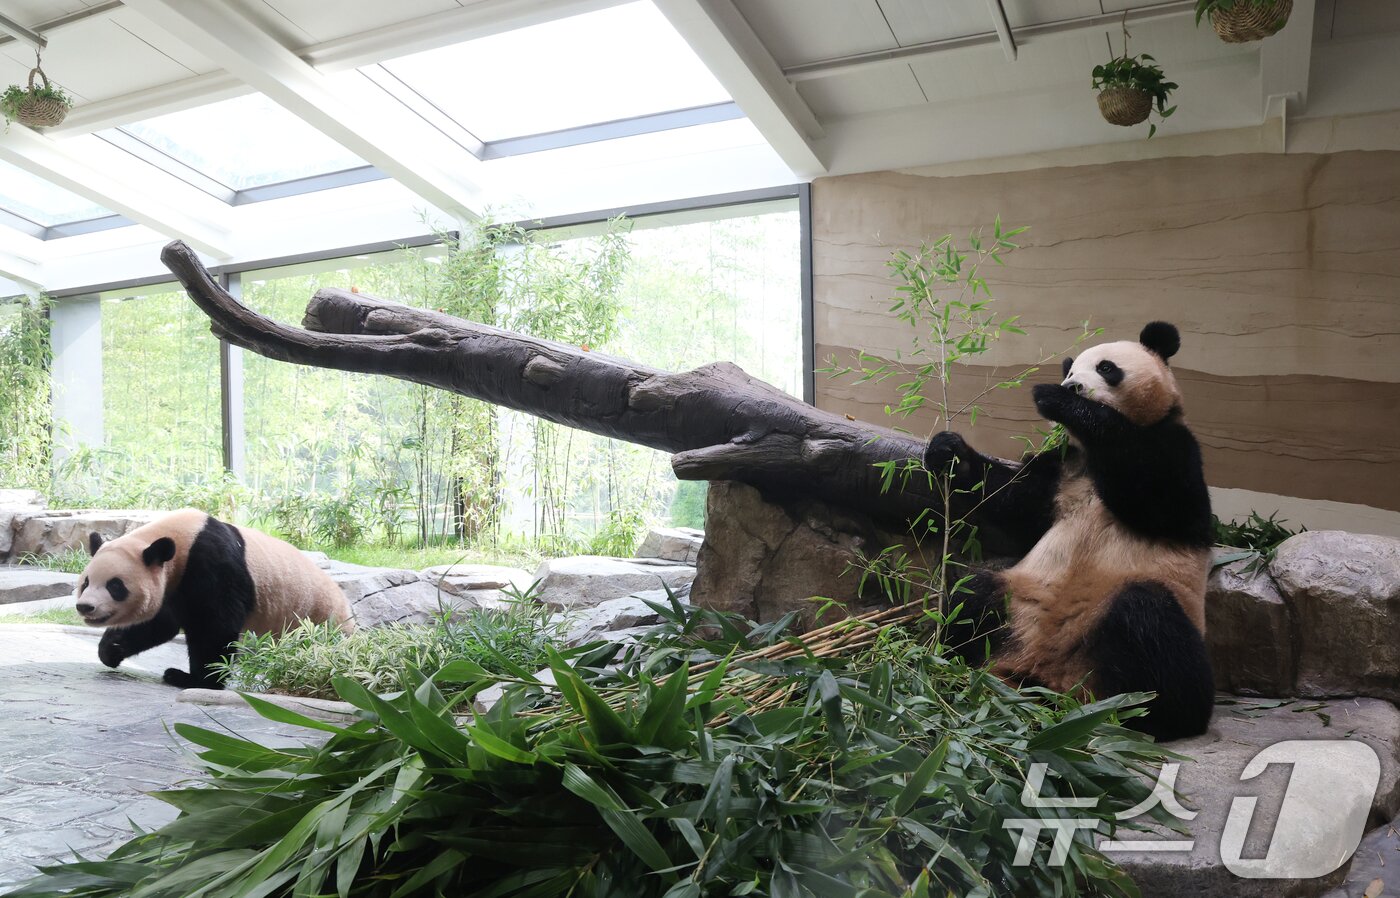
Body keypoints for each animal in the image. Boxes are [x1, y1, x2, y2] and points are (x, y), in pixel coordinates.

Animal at [74, 509, 355, 689]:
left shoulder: (212, 564)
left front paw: (194, 680)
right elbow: (160, 623)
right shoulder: (174, 584)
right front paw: (110, 650)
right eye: (86, 582)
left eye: (115, 586)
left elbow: (213, 626)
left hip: (318, 622)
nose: (85, 607)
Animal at [922, 321, 1214, 740]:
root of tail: (1054, 682)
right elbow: (1014, 504)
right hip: (1017, 604)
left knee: (1149, 619)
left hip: (1135, 630)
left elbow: (1159, 497)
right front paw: (949, 452)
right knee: (973, 595)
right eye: (1071, 369)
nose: (1073, 385)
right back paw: (949, 666)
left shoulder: (1175, 448)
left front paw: (1059, 401)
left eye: (1106, 367)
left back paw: (1162, 718)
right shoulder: (1060, 469)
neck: (1089, 457)